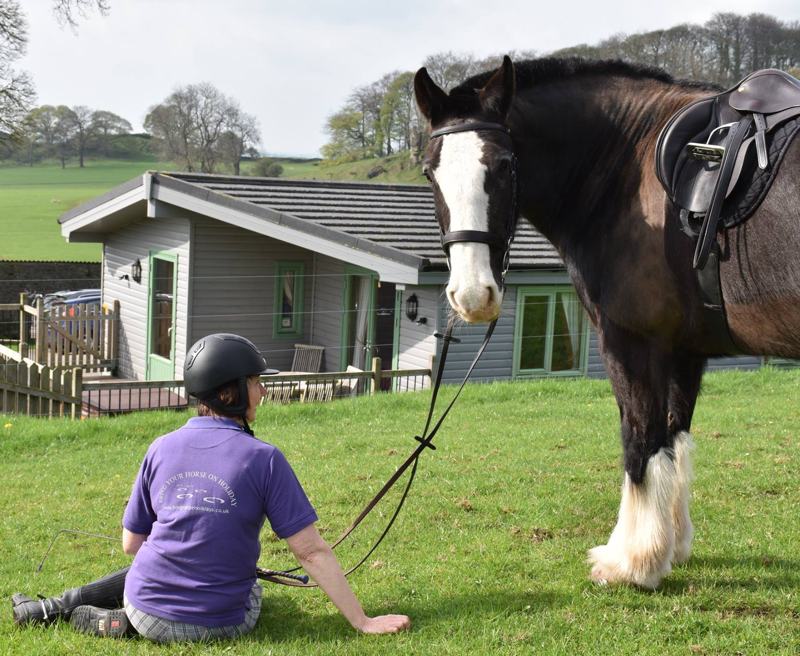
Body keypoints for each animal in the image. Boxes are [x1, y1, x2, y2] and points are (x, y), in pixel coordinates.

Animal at [414, 56, 800, 589]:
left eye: (505, 165)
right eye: (429, 172)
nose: (472, 294)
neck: (631, 162)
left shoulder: (631, 341)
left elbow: (640, 444)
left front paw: (632, 561)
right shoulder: (684, 350)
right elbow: (674, 441)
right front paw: (671, 546)